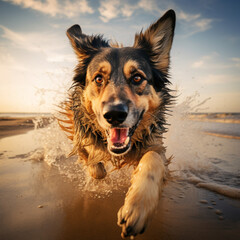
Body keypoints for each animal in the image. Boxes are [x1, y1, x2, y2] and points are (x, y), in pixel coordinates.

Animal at [58, 8, 174, 238]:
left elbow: (153, 161)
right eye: (98, 79)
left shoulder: (155, 144)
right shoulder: (80, 133)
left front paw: (138, 206)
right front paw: (98, 171)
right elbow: (94, 165)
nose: (114, 115)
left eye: (137, 78)